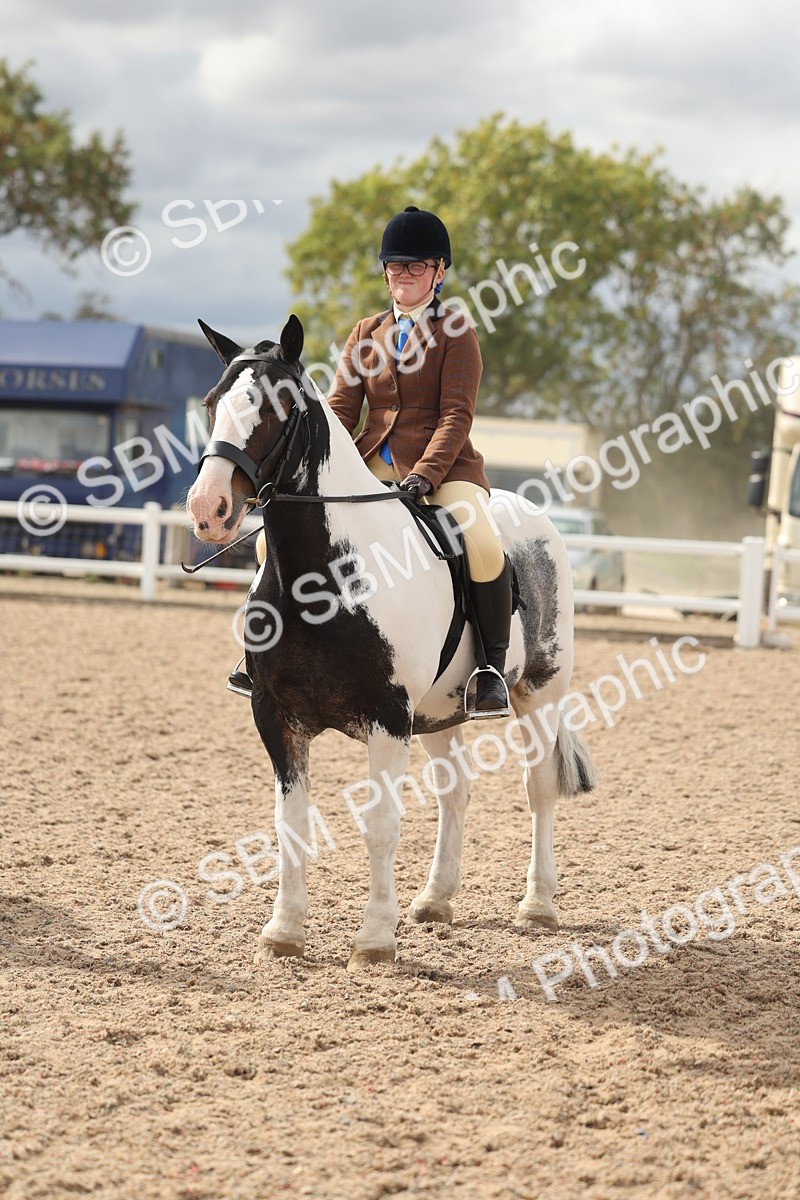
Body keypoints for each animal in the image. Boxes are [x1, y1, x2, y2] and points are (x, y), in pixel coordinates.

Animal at [186, 314, 596, 969]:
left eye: (276, 409)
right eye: (211, 404)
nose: (209, 508)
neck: (324, 575)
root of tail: (533, 513)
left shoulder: (386, 716)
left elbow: (381, 824)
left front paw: (376, 938)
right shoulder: (276, 715)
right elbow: (289, 822)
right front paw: (284, 931)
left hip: (539, 694)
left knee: (538, 789)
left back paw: (538, 905)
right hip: (438, 712)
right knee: (456, 793)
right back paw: (435, 900)